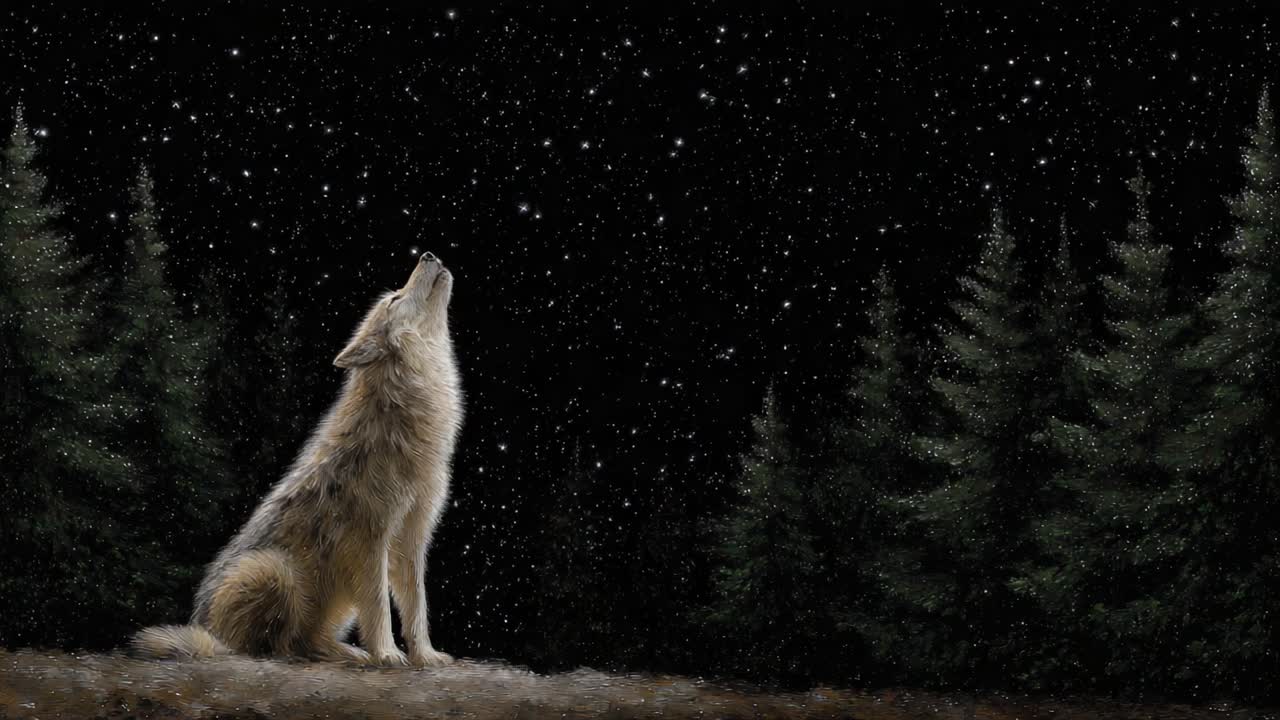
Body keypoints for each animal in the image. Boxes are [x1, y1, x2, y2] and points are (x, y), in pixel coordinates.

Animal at [133, 252, 462, 667]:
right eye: (395, 299)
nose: (428, 255)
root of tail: (204, 628)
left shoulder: (412, 539)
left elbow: (416, 605)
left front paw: (425, 655)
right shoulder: (370, 541)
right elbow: (379, 607)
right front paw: (387, 654)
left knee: (307, 642)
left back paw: (347, 652)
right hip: (277, 571)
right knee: (268, 647)